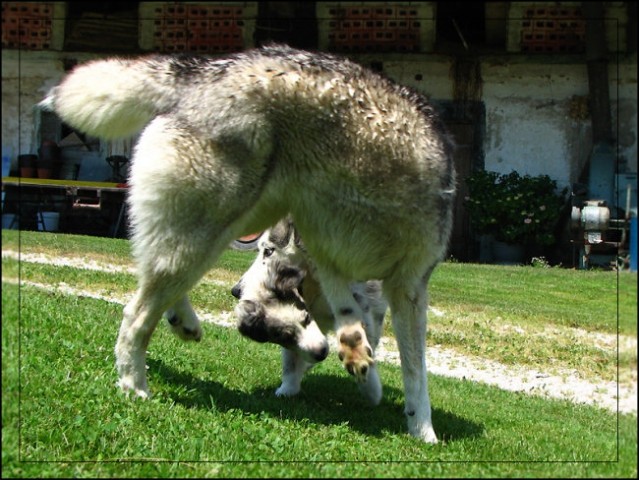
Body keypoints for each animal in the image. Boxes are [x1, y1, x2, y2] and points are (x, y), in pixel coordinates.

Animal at [232, 219, 388, 404]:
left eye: (268, 251)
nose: (236, 290)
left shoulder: (360, 304)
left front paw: (369, 385)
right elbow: (292, 357)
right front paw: (288, 388)